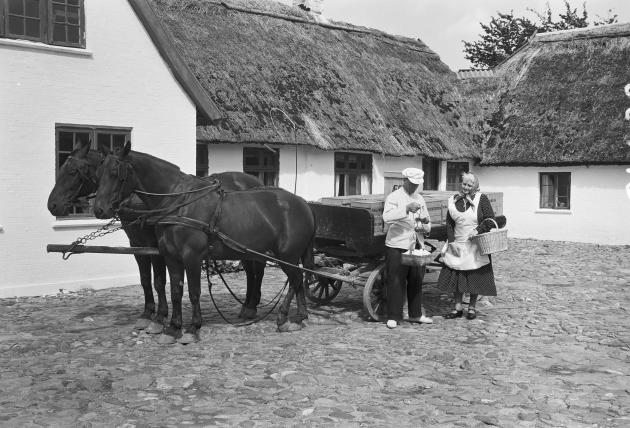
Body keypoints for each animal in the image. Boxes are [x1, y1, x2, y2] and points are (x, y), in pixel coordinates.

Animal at [47, 142, 268, 332]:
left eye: (72, 172)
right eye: (99, 175)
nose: (52, 205)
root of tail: (256, 181)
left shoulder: (156, 248)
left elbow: (160, 281)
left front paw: (161, 315)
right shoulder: (138, 246)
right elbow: (146, 280)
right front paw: (147, 313)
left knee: (256, 270)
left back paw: (250, 306)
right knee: (251, 270)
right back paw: (249, 304)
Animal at [93, 143, 316, 344]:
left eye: (115, 173)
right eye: (98, 172)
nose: (99, 209)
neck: (179, 202)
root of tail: (303, 203)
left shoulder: (191, 257)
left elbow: (193, 292)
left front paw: (192, 328)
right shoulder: (170, 257)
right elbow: (175, 291)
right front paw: (172, 328)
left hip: (287, 255)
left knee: (295, 279)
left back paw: (283, 317)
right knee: (294, 280)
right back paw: (299, 316)